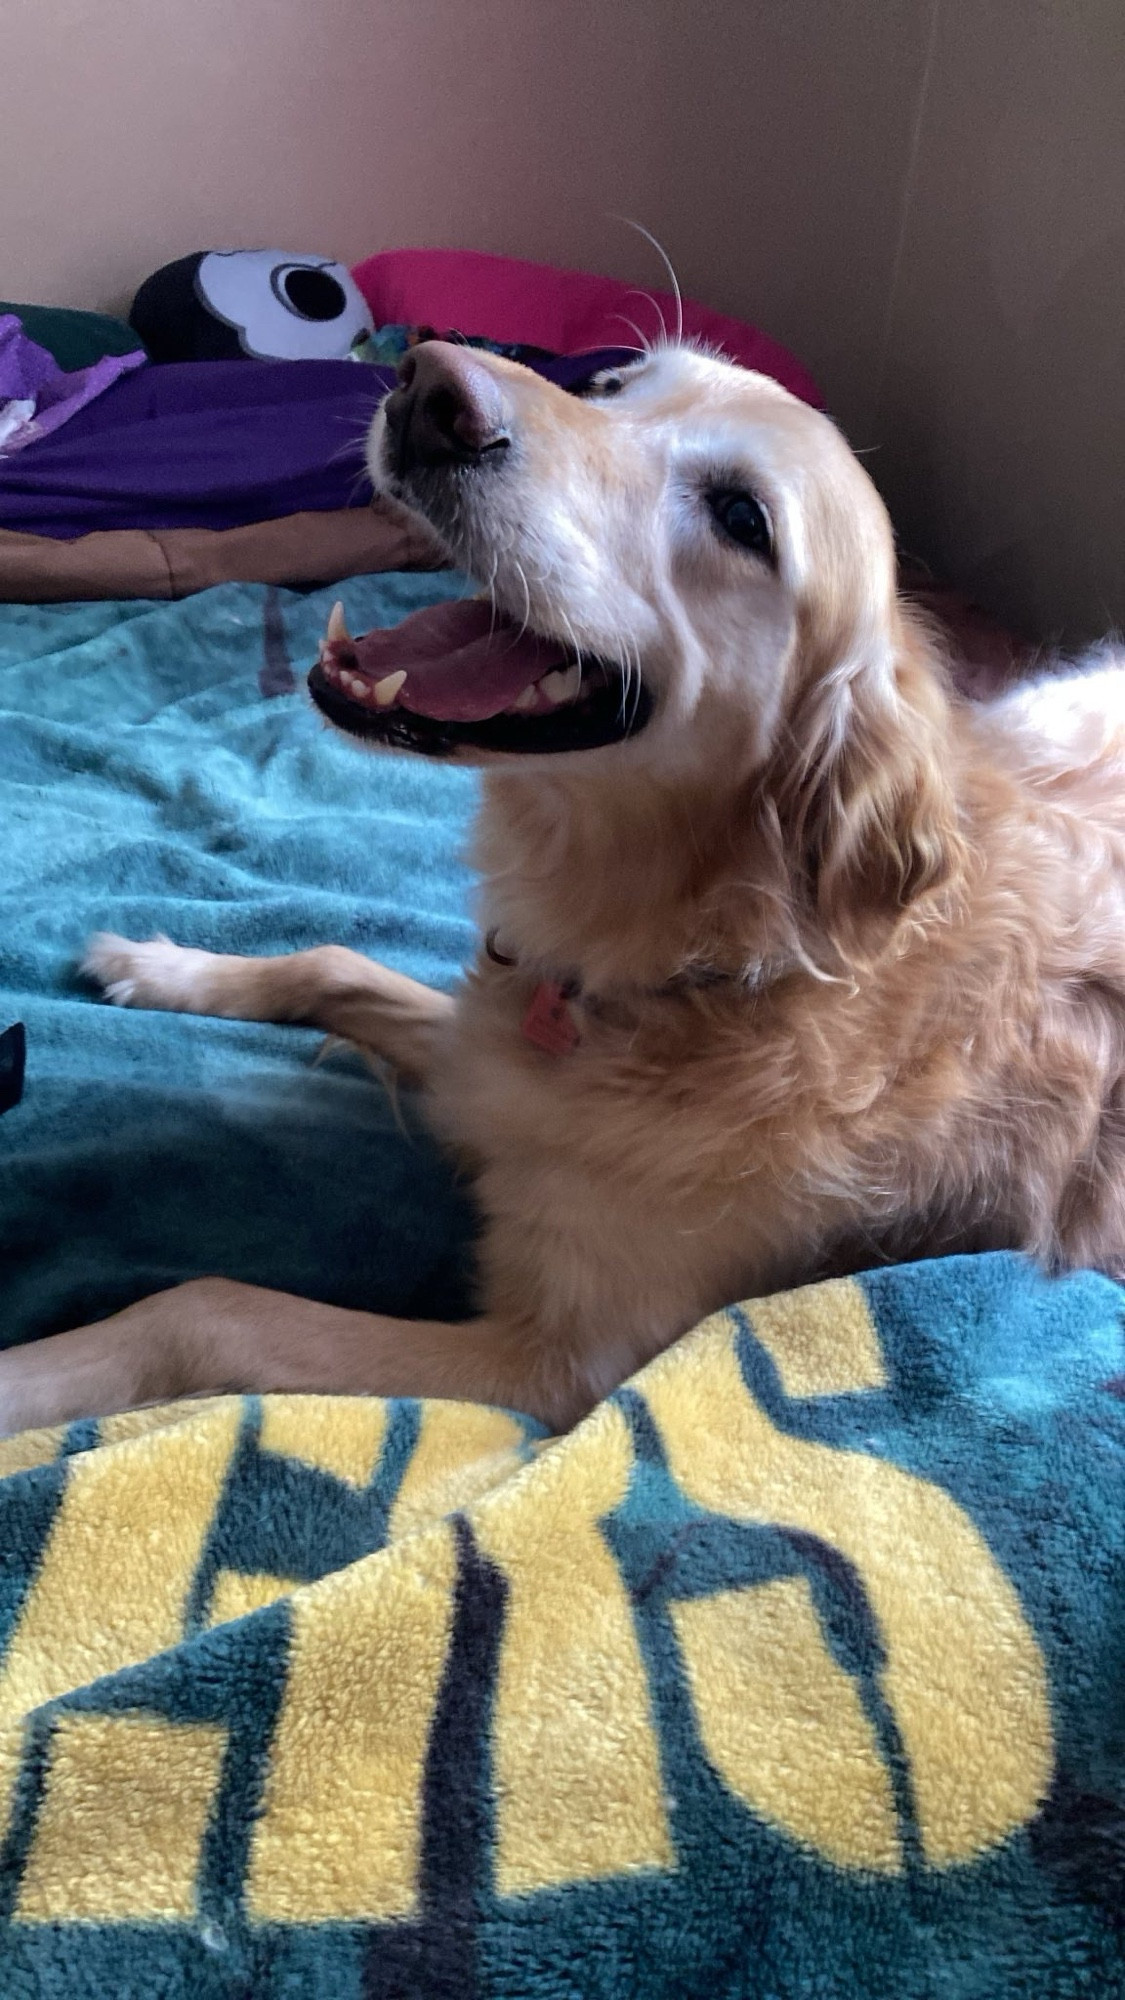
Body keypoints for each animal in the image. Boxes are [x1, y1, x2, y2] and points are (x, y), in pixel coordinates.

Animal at [2, 344, 1120, 1440]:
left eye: (741, 518)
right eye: (609, 385)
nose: (430, 390)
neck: (703, 963)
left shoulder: (552, 1367)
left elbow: (205, 1307)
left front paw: (26, 1378)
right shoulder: (486, 1044)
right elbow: (335, 959)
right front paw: (159, 964)